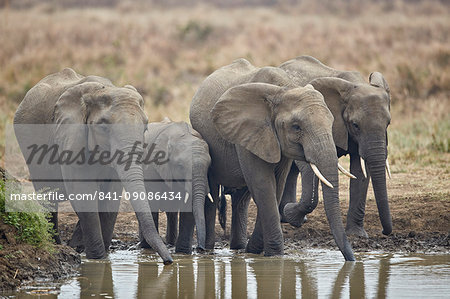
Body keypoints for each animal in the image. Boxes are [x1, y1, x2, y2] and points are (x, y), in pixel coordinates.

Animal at [13, 68, 172, 264]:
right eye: (103, 127)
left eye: (145, 128)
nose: (169, 261)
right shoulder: (72, 137)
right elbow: (82, 191)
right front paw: (97, 259)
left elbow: (111, 197)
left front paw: (102, 257)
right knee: (48, 195)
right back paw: (57, 244)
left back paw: (76, 245)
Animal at [190, 58, 356, 260]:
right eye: (296, 127)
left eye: (331, 123)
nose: (351, 259)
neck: (283, 89)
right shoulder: (250, 133)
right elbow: (263, 185)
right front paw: (275, 256)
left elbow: (276, 185)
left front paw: (258, 251)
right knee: (213, 192)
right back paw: (207, 250)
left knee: (241, 198)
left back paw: (240, 248)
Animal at [280, 55, 392, 239]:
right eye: (355, 125)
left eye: (388, 123)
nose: (384, 231)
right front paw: (291, 214)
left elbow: (361, 170)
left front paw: (357, 235)